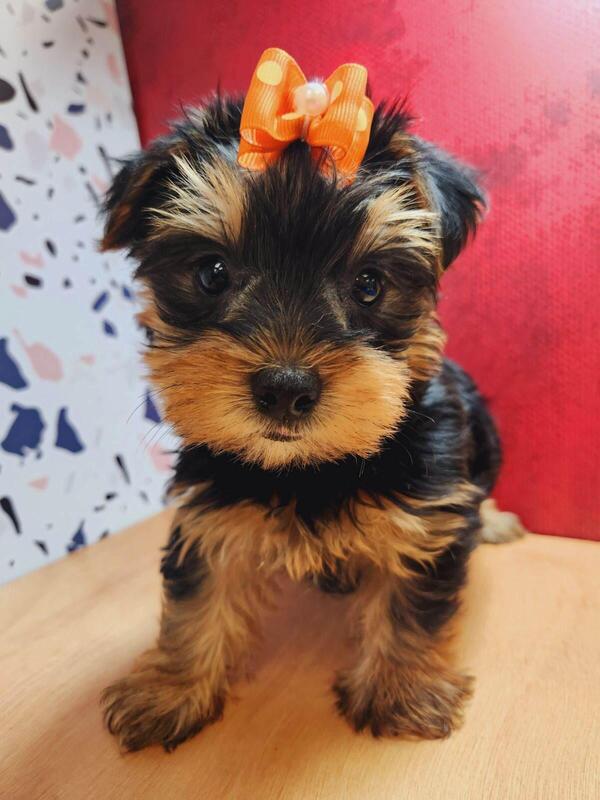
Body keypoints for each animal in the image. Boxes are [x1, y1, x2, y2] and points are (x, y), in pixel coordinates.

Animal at [100, 60, 525, 751]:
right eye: (213, 273)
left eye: (369, 284)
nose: (285, 388)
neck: (313, 467)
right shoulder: (212, 504)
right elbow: (199, 590)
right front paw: (171, 687)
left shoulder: (427, 503)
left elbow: (412, 595)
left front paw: (400, 690)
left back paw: (492, 521)